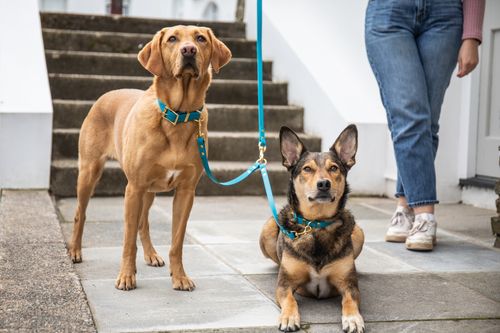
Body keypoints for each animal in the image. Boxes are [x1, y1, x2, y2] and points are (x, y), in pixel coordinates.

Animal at [69, 26, 232, 290]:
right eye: (172, 39)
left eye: (200, 38)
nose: (189, 50)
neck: (178, 115)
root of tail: (105, 95)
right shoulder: (133, 188)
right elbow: (127, 240)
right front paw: (126, 276)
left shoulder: (186, 192)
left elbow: (177, 242)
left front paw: (180, 276)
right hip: (90, 172)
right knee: (80, 213)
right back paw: (75, 250)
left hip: (150, 190)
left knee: (143, 222)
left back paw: (151, 254)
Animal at [260, 124, 366, 332]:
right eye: (307, 169)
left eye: (334, 168)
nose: (324, 183)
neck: (317, 223)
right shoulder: (284, 284)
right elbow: (290, 300)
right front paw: (288, 317)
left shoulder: (349, 284)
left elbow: (349, 300)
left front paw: (353, 318)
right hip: (267, 228)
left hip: (358, 232)